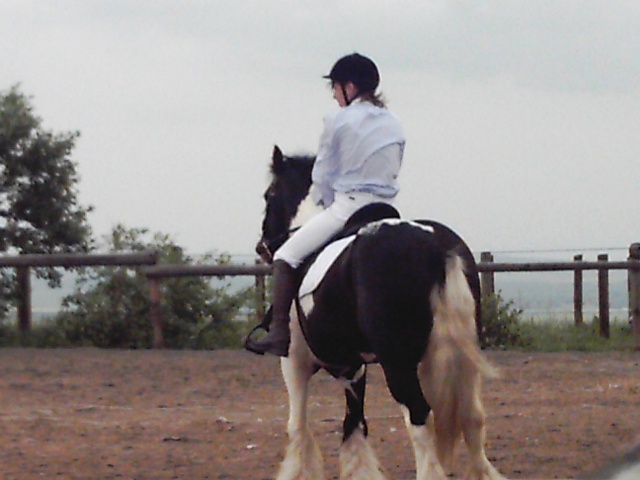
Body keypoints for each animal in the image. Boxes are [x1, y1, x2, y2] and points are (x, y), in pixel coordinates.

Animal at [254, 144, 504, 478]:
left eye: (269, 194)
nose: (262, 247)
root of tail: (437, 247)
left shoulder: (294, 361)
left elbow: (297, 427)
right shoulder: (353, 366)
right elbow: (354, 425)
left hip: (398, 363)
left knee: (420, 417)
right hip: (456, 357)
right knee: (473, 418)